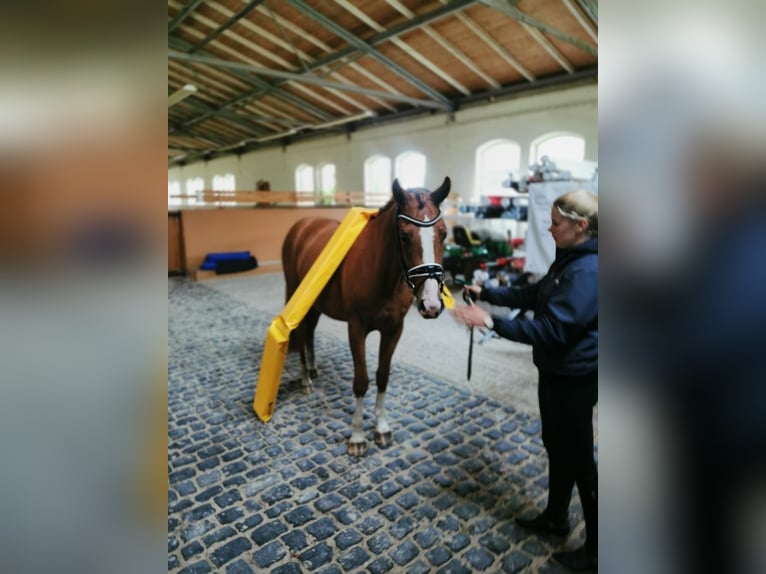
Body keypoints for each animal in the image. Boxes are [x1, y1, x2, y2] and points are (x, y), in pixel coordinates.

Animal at [282, 177, 451, 456]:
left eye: (444, 233)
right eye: (404, 236)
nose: (431, 304)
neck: (380, 273)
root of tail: (302, 225)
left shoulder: (394, 329)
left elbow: (382, 376)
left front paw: (381, 428)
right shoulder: (356, 329)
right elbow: (361, 381)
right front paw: (357, 437)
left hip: (316, 305)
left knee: (310, 333)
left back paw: (314, 370)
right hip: (298, 298)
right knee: (301, 333)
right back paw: (305, 379)